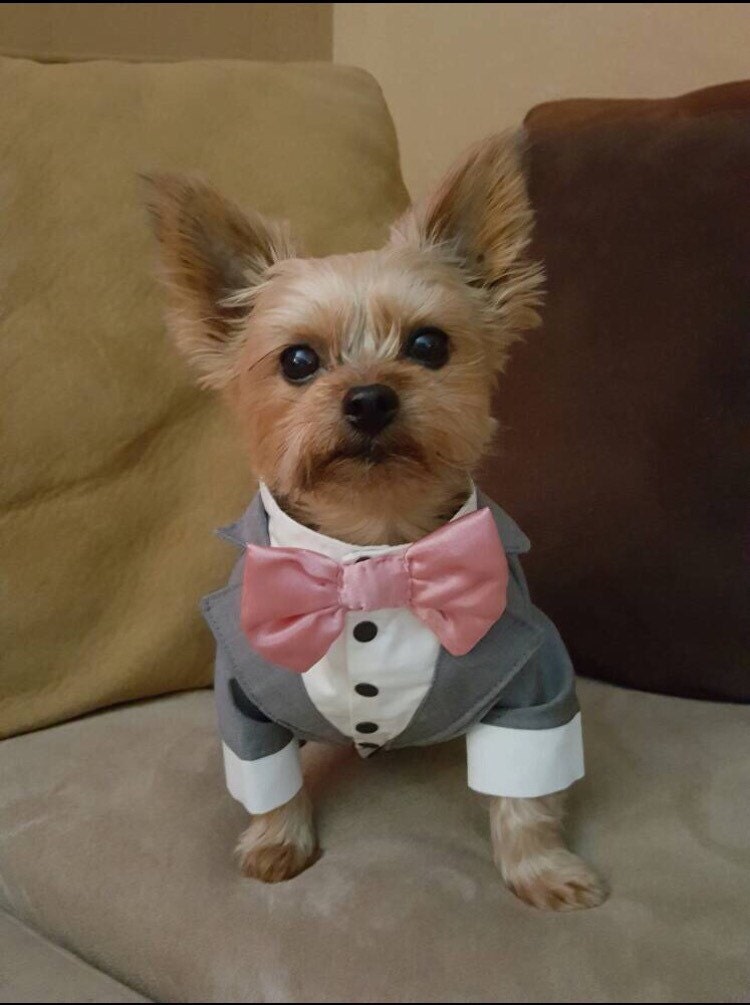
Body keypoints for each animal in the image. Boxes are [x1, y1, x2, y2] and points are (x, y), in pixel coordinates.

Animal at [145, 133, 607, 912]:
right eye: (298, 359)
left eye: (428, 345)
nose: (368, 399)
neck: (373, 545)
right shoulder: (244, 692)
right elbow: (267, 778)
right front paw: (276, 845)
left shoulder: (532, 677)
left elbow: (526, 795)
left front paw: (542, 869)